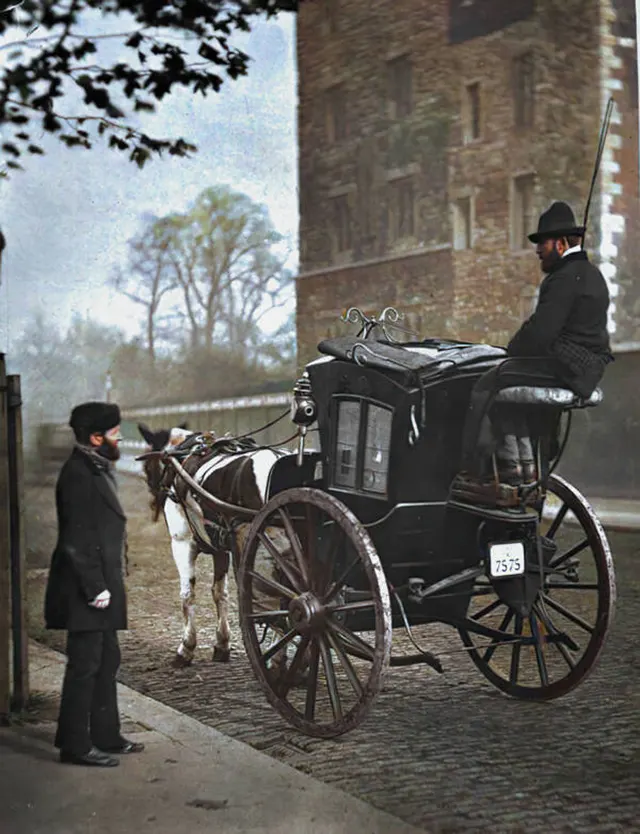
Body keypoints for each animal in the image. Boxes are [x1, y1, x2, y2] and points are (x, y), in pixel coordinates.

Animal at [139, 420, 290, 668]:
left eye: (147, 468)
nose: (154, 503)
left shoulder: (182, 543)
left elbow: (187, 593)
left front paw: (186, 647)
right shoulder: (220, 548)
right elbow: (219, 592)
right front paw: (222, 644)